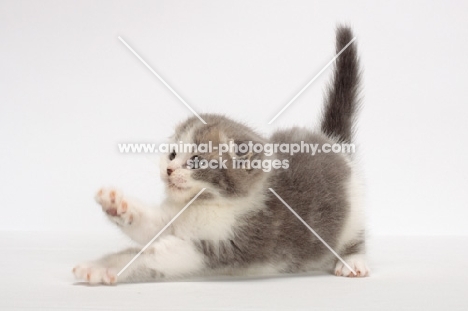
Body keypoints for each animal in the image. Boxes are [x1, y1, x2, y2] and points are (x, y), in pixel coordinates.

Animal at [73, 26, 368, 286]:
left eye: (196, 161)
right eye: (172, 154)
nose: (169, 170)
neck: (208, 204)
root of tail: (331, 142)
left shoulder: (225, 247)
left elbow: (154, 256)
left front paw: (106, 267)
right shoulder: (172, 221)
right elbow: (150, 226)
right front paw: (116, 205)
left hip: (352, 214)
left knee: (356, 238)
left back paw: (353, 261)